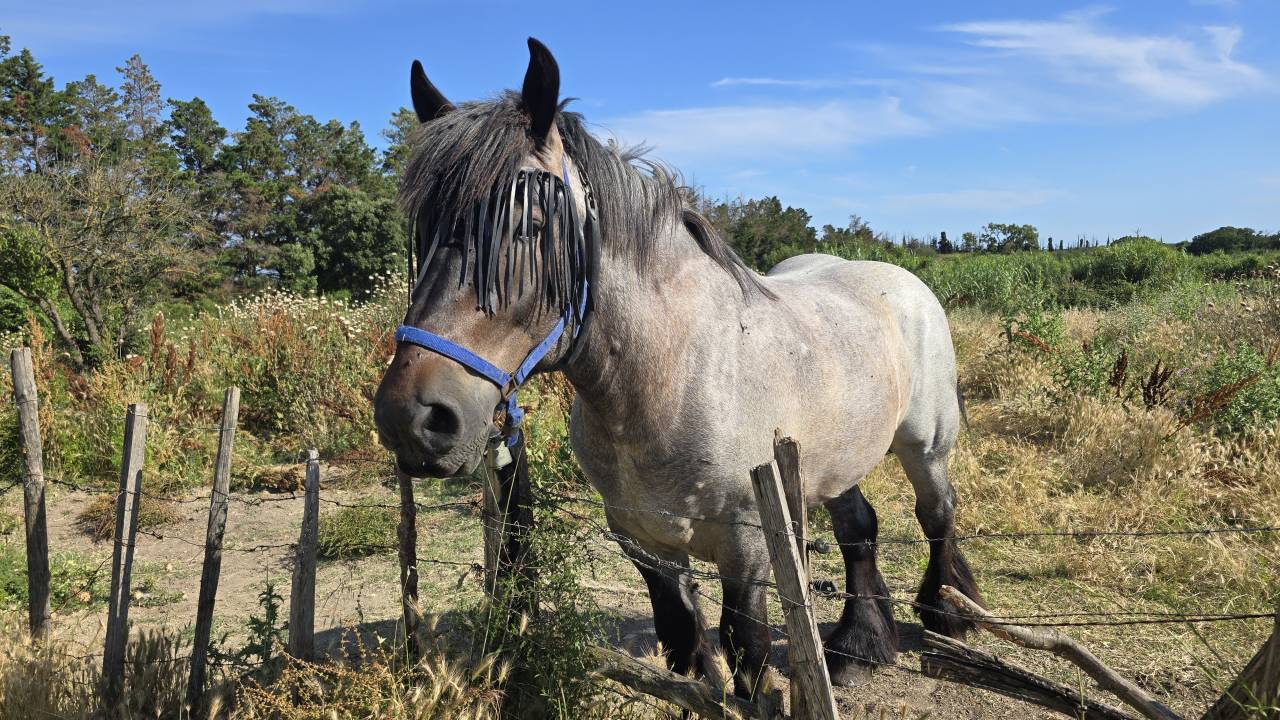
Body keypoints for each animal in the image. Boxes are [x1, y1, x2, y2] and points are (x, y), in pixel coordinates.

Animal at [373, 38, 984, 699]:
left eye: (530, 227)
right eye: (425, 230)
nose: (411, 418)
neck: (672, 379)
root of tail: (901, 281)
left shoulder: (748, 549)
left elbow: (746, 656)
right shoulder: (644, 542)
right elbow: (682, 649)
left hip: (925, 448)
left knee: (936, 514)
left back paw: (948, 614)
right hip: (835, 457)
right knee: (860, 529)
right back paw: (857, 647)